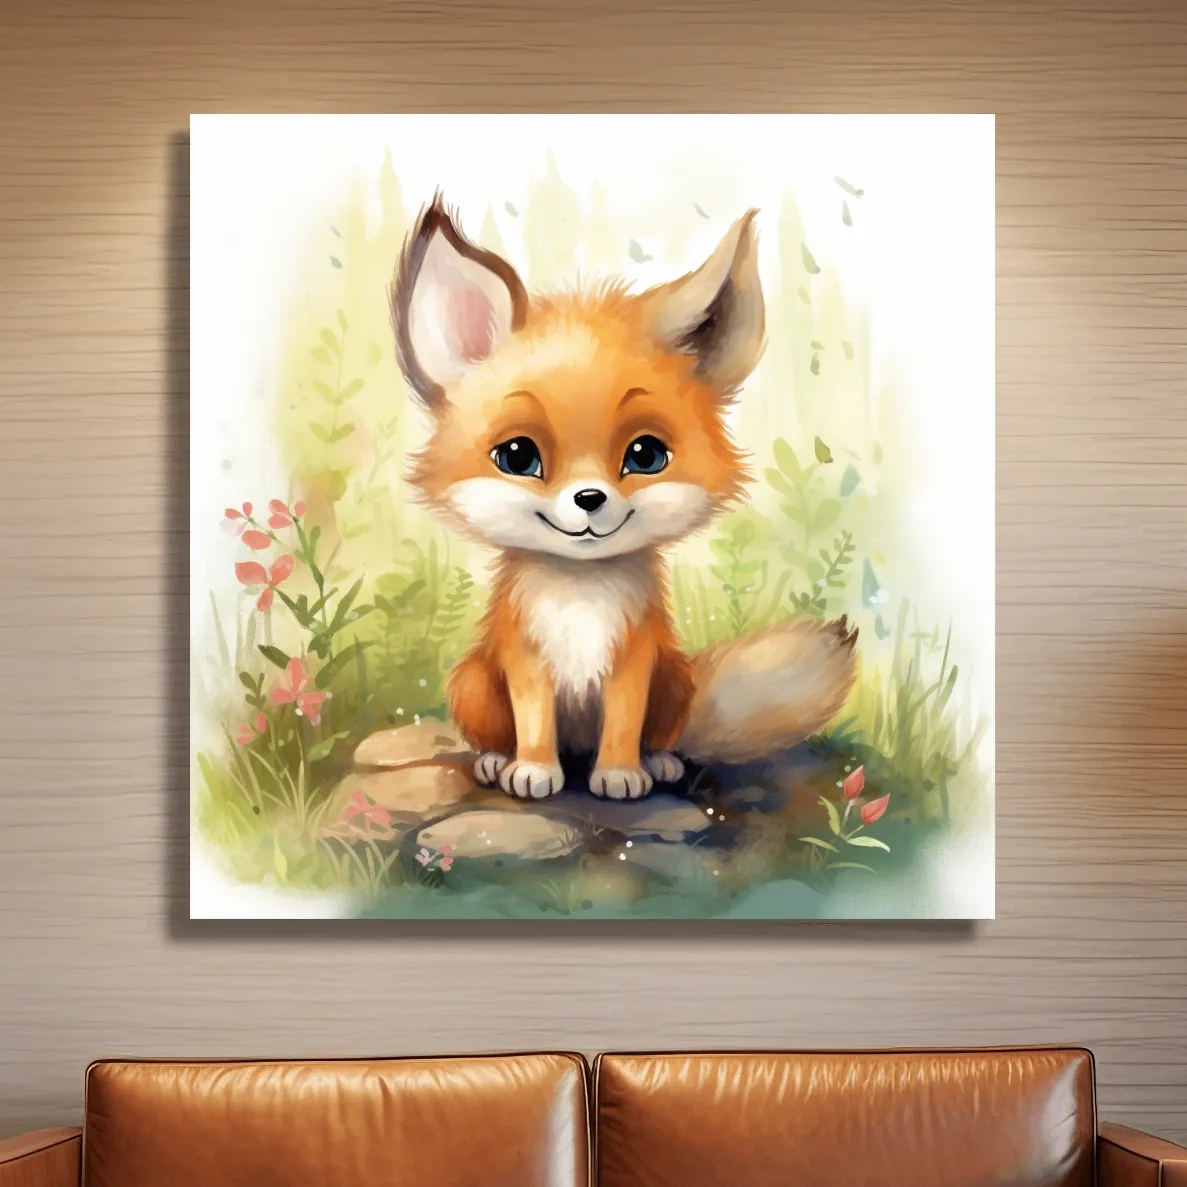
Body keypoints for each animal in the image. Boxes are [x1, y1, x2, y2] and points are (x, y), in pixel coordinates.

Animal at [389, 194, 858, 802]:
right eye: (518, 456)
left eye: (645, 455)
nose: (590, 498)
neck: (580, 595)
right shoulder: (525, 659)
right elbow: (533, 721)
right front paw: (534, 769)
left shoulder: (635, 660)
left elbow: (623, 722)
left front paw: (619, 772)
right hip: (472, 681)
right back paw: (496, 760)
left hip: (674, 680)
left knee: (663, 734)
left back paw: (658, 762)